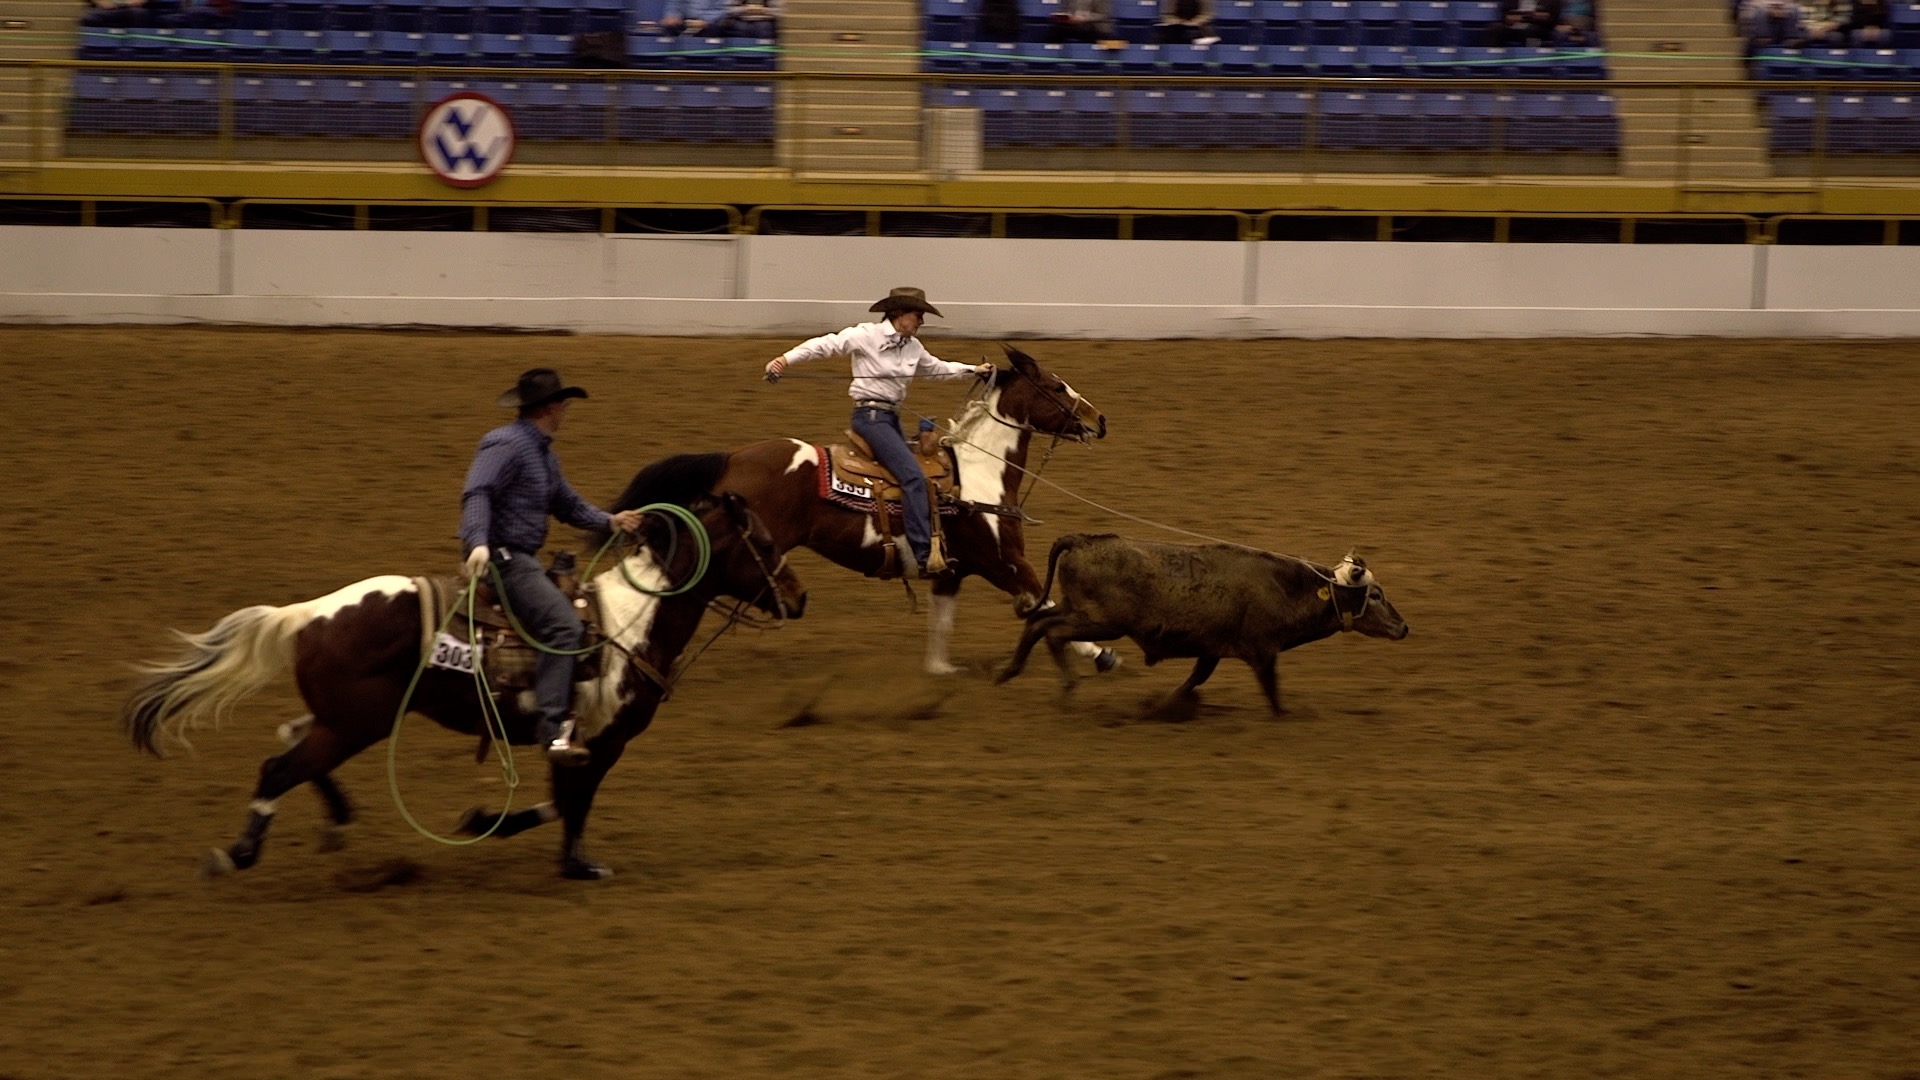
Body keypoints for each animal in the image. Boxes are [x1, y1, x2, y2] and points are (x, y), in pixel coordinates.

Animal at [118, 491, 810, 880]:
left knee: (289, 739)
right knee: (277, 767)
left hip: (345, 721)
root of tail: (308, 614)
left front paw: (489, 821)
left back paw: (335, 819)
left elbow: (561, 801)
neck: (629, 623)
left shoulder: (571, 744)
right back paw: (238, 853)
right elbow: (573, 803)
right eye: (764, 540)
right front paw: (577, 865)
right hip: (357, 724)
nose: (801, 597)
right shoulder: (599, 743)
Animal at [606, 343, 1105, 668]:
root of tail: (733, 456)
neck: (977, 474)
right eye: (1057, 385)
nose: (1099, 420)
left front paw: (939, 676)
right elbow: (1047, 606)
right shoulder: (1006, 562)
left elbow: (942, 629)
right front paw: (1103, 655)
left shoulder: (952, 574)